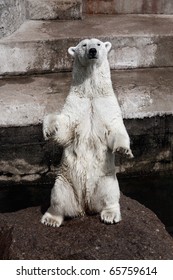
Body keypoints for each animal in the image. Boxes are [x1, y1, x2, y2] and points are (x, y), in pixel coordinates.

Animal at [41, 37, 133, 228]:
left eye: (98, 44)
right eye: (84, 44)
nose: (92, 51)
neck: (91, 93)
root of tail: (84, 205)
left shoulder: (107, 105)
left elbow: (116, 129)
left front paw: (123, 150)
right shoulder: (76, 104)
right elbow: (65, 128)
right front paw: (50, 127)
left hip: (105, 179)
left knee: (110, 195)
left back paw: (110, 215)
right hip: (64, 181)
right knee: (58, 198)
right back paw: (51, 218)